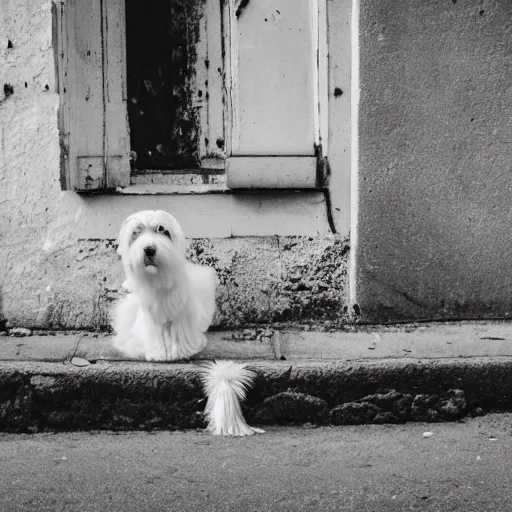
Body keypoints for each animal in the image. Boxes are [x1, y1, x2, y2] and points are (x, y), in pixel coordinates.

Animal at [111, 208, 217, 360]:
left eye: (162, 230)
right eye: (138, 232)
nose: (149, 249)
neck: (159, 278)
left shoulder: (179, 312)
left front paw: (180, 351)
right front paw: (158, 353)